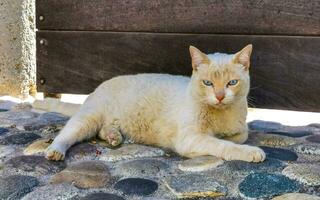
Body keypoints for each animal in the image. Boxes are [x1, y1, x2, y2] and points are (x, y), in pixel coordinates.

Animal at [33, 45, 266, 162]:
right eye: (207, 83)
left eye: (232, 83)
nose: (219, 96)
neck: (221, 114)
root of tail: (96, 90)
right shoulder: (190, 138)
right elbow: (223, 145)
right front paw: (251, 152)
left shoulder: (241, 129)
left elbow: (238, 137)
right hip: (87, 119)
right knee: (66, 134)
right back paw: (55, 151)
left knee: (102, 130)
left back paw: (113, 136)